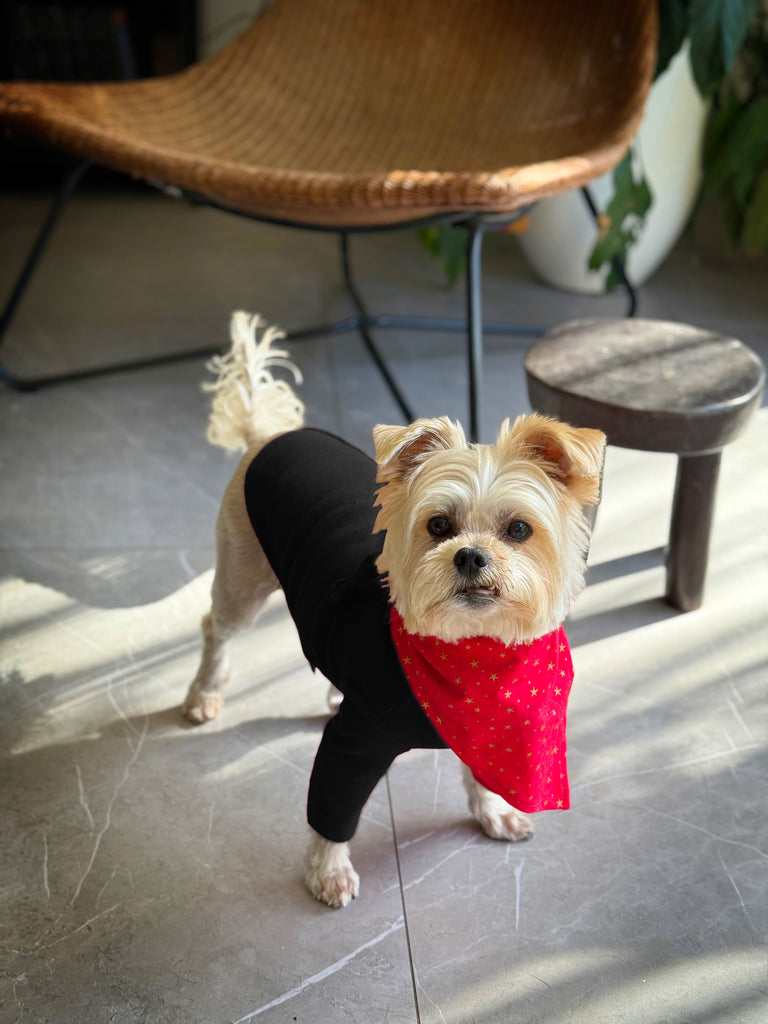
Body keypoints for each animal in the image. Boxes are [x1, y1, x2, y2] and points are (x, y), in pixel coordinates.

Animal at [183, 313, 605, 908]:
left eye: (519, 530)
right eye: (438, 525)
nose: (470, 555)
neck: (473, 652)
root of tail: (269, 435)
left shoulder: (489, 732)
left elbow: (481, 770)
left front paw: (492, 810)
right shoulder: (352, 745)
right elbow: (331, 813)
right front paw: (327, 870)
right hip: (243, 580)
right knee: (215, 628)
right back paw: (203, 693)